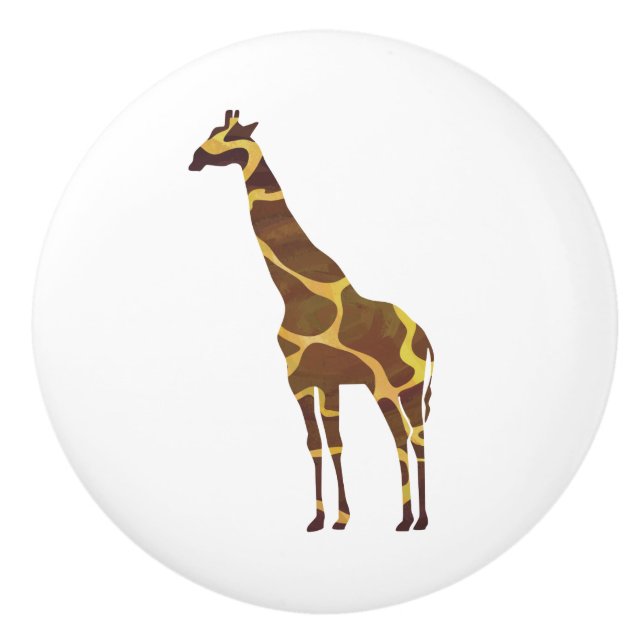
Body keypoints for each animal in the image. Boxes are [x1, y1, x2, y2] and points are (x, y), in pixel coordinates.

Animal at [189, 110, 434, 531]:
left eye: (228, 136)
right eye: (212, 130)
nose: (194, 159)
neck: (295, 292)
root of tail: (427, 340)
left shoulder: (301, 379)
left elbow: (319, 442)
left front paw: (331, 517)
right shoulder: (318, 380)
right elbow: (326, 443)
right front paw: (332, 518)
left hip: (398, 385)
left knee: (408, 437)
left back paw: (412, 520)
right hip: (396, 387)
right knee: (409, 436)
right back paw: (413, 517)